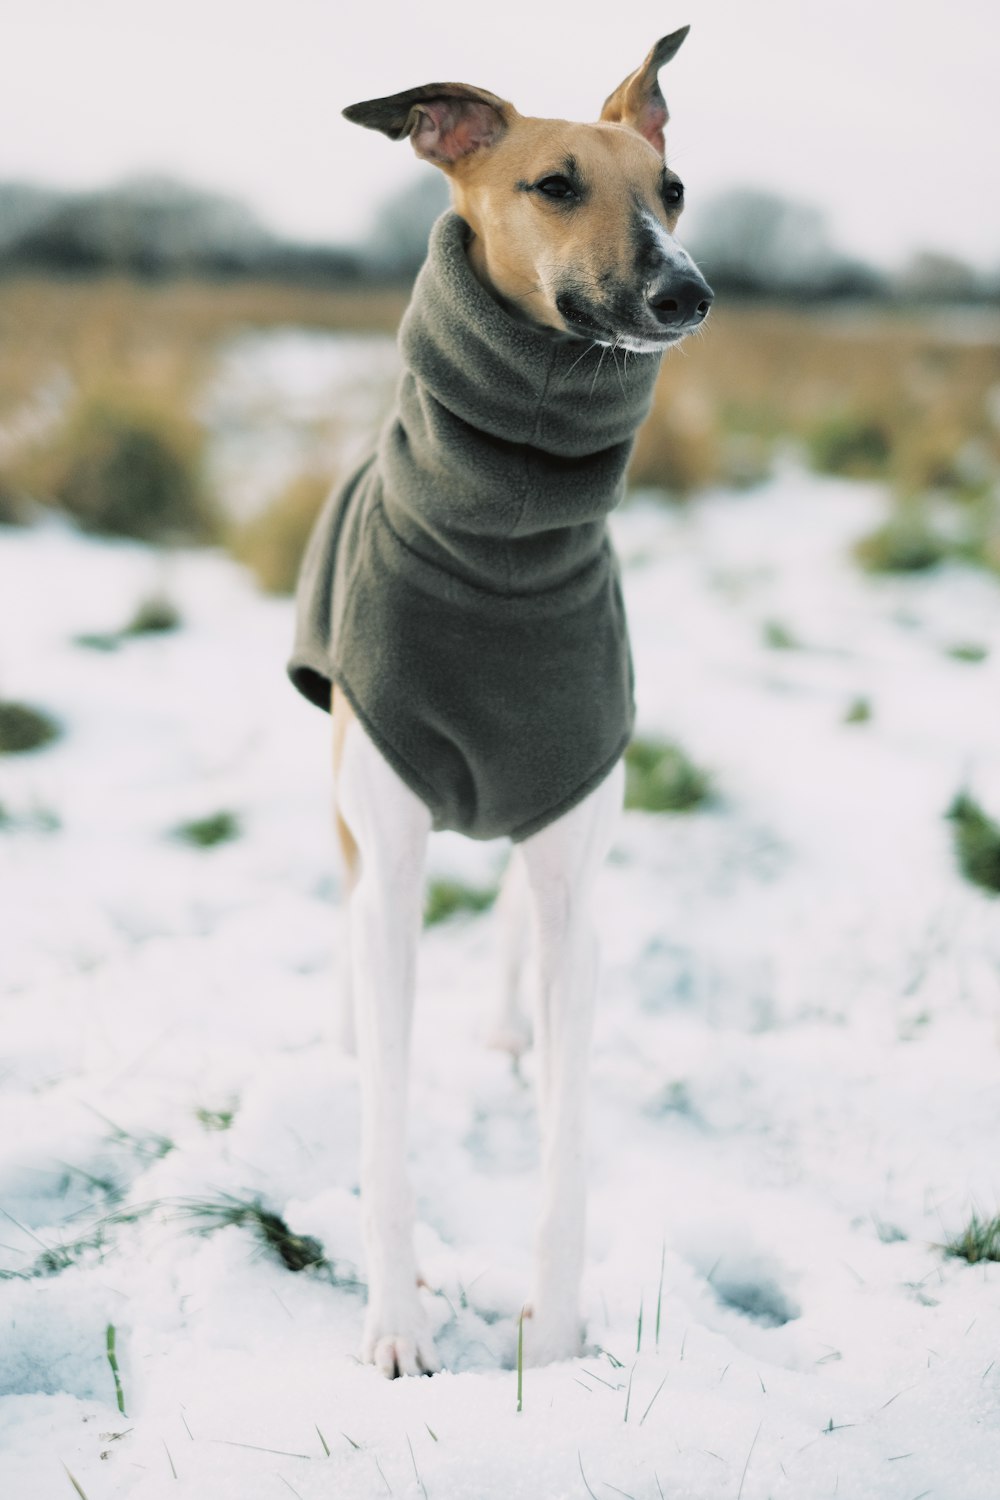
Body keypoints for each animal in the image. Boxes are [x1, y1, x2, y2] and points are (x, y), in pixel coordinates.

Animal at [287, 26, 710, 1380]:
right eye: (554, 185)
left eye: (671, 188)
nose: (685, 293)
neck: (505, 542)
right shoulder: (392, 849)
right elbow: (385, 1134)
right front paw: (396, 1327)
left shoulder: (578, 857)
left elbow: (567, 1152)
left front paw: (560, 1339)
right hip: (352, 808)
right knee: (350, 923)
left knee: (523, 926)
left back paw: (509, 1040)